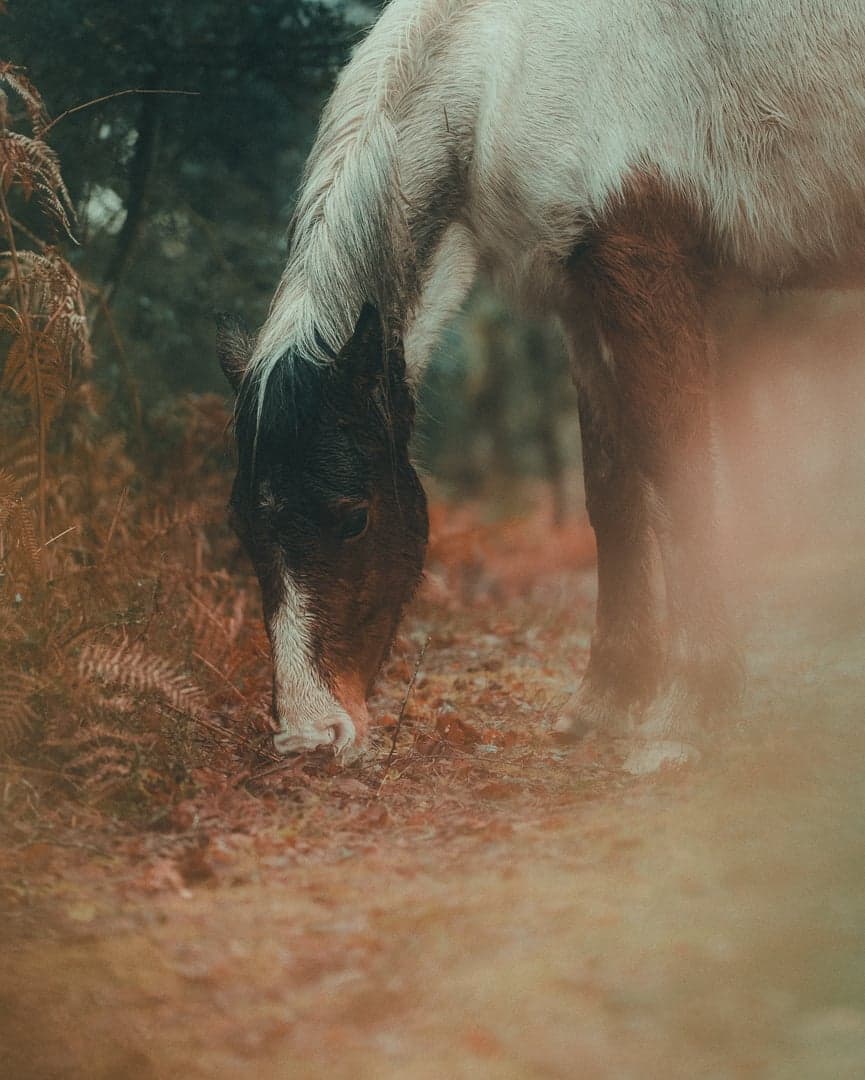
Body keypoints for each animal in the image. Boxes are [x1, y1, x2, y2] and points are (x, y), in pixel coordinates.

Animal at [218, 0, 865, 757]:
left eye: (355, 517)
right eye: (241, 524)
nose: (310, 735)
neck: (506, 65)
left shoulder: (644, 267)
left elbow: (679, 482)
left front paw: (687, 715)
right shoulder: (580, 303)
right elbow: (611, 495)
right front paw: (606, 701)